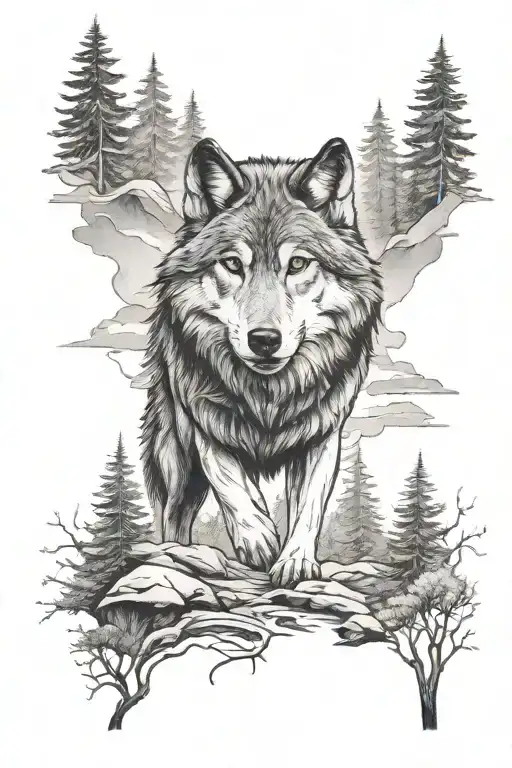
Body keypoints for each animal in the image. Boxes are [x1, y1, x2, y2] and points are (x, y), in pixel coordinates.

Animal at [141, 136, 382, 587]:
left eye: (298, 263)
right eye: (233, 264)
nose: (265, 340)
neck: (268, 394)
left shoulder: (323, 431)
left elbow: (309, 505)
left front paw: (295, 561)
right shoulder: (203, 417)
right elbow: (230, 480)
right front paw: (257, 538)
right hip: (176, 460)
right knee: (173, 515)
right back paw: (178, 554)